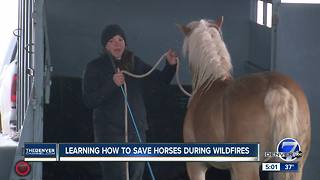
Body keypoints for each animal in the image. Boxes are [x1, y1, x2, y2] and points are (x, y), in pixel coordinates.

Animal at [178, 16, 310, 179]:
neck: (209, 81)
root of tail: (275, 87)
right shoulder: (233, 170)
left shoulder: (196, 166)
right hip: (294, 165)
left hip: (246, 168)